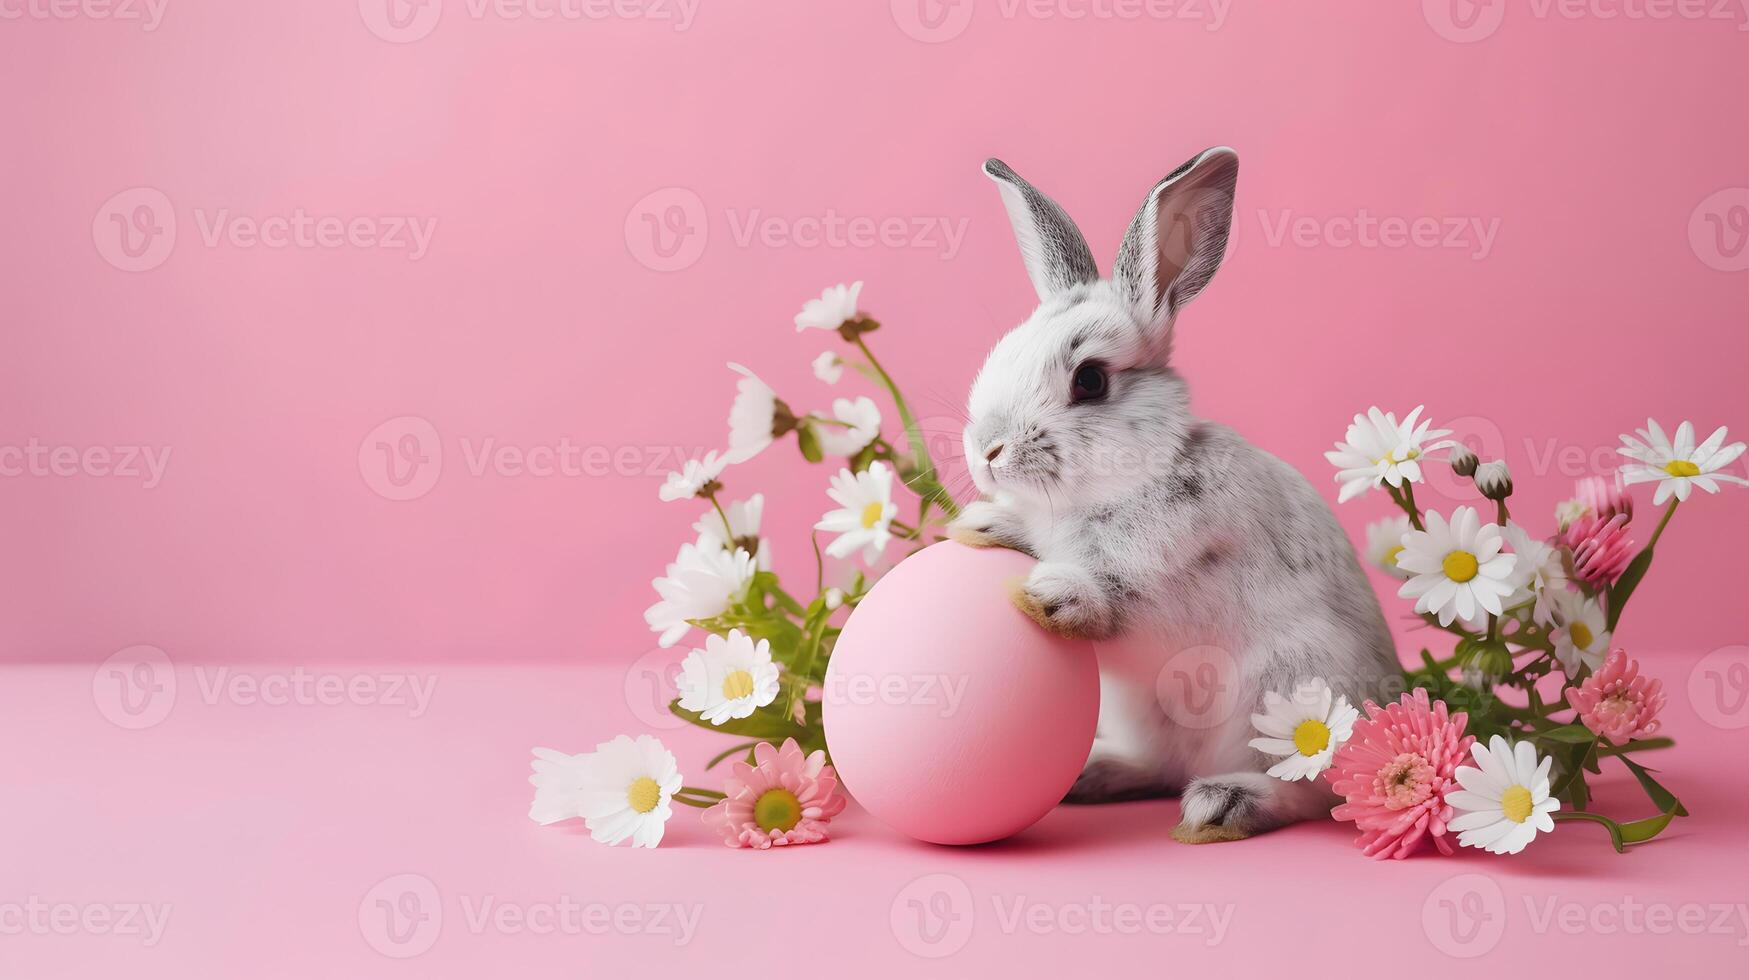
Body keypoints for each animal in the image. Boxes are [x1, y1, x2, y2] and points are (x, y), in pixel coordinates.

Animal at [951, 147, 1399, 843]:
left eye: (1090, 380)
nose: (987, 449)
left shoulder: (1167, 565)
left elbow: (1110, 595)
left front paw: (1048, 596)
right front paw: (982, 525)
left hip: (1290, 689)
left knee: (1306, 791)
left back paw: (1222, 804)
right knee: (1162, 766)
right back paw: (1095, 775)